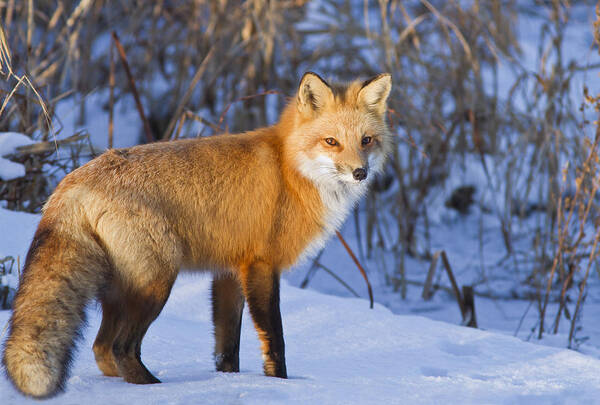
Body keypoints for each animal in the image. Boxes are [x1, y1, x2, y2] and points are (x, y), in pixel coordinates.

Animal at [2, 71, 394, 396]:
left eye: (366, 140)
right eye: (331, 142)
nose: (360, 173)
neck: (290, 171)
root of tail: (72, 181)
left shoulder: (229, 272)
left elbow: (226, 348)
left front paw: (229, 382)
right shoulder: (262, 266)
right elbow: (275, 340)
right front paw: (279, 385)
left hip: (119, 290)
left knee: (101, 348)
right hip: (156, 282)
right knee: (121, 347)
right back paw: (153, 388)